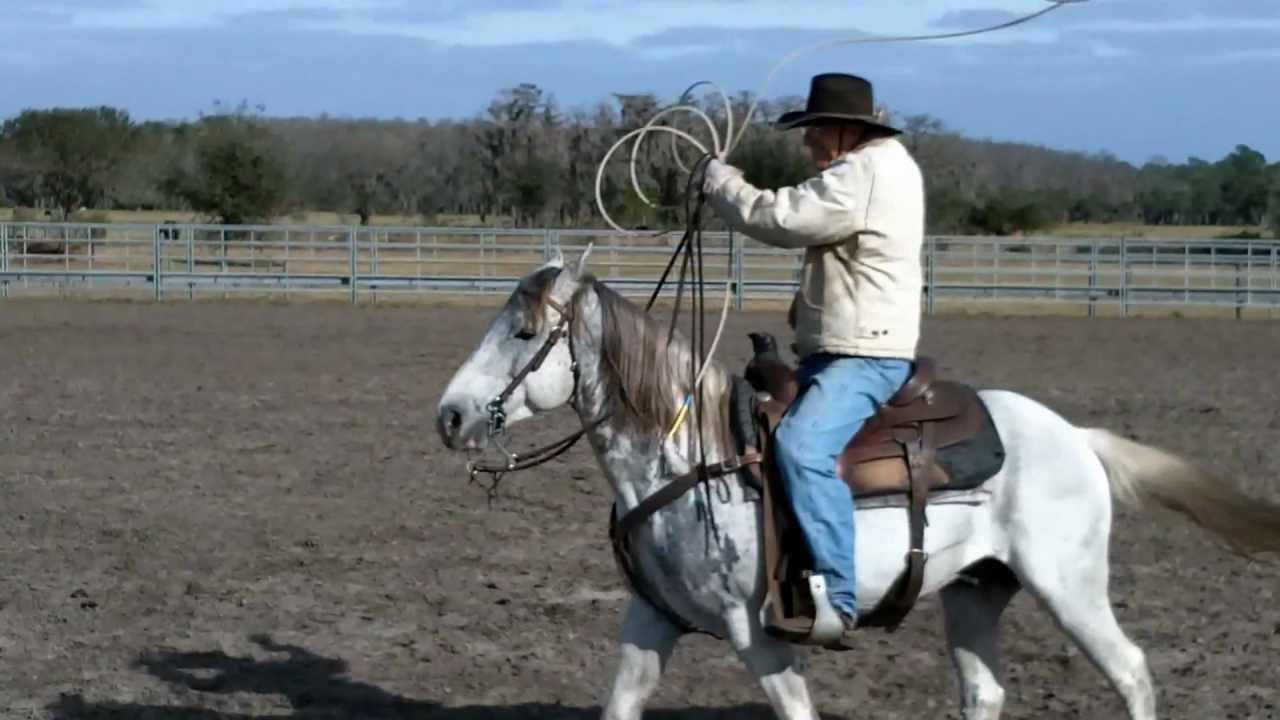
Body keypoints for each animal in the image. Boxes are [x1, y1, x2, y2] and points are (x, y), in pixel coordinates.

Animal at [435, 250, 1280, 720]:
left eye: (523, 332)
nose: (450, 415)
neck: (690, 459)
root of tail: (1076, 437)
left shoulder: (759, 635)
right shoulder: (653, 621)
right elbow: (621, 704)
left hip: (1069, 585)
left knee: (1131, 672)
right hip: (976, 592)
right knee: (985, 694)